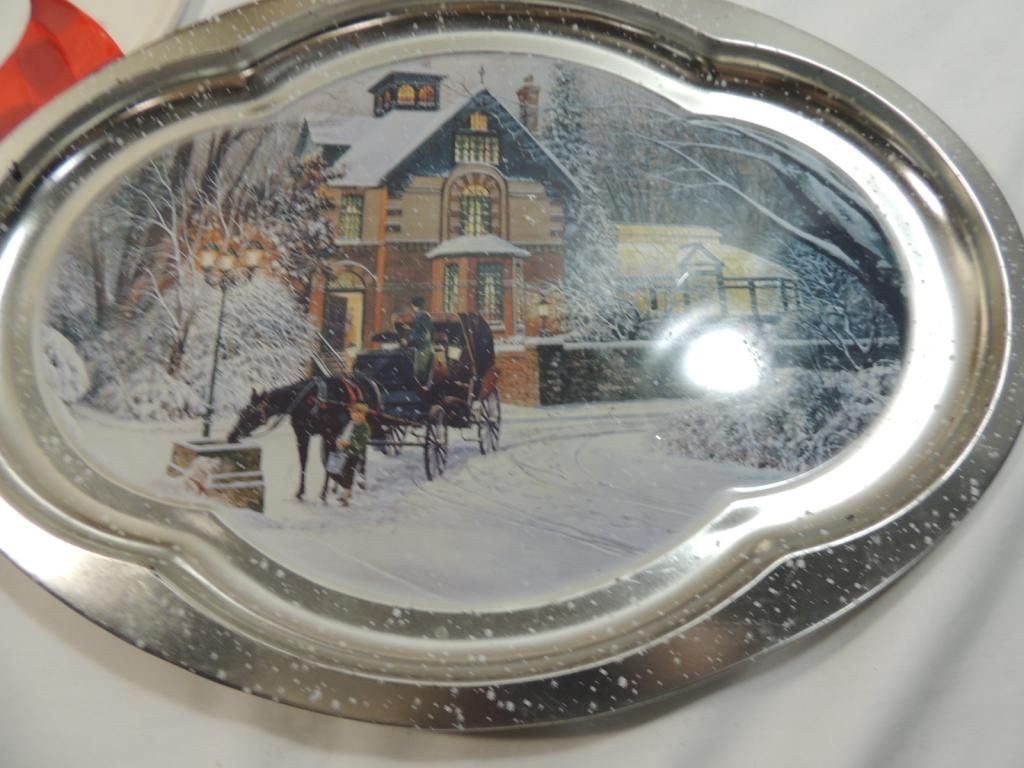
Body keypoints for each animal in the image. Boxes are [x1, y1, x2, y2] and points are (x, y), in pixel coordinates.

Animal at [227, 376, 376, 502]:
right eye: (243, 411)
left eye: (254, 413)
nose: (231, 436)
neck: (307, 401)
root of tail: (372, 384)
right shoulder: (302, 434)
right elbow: (304, 462)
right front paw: (300, 493)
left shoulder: (329, 434)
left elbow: (328, 462)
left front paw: (322, 494)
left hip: (364, 426)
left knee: (362, 453)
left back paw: (361, 482)